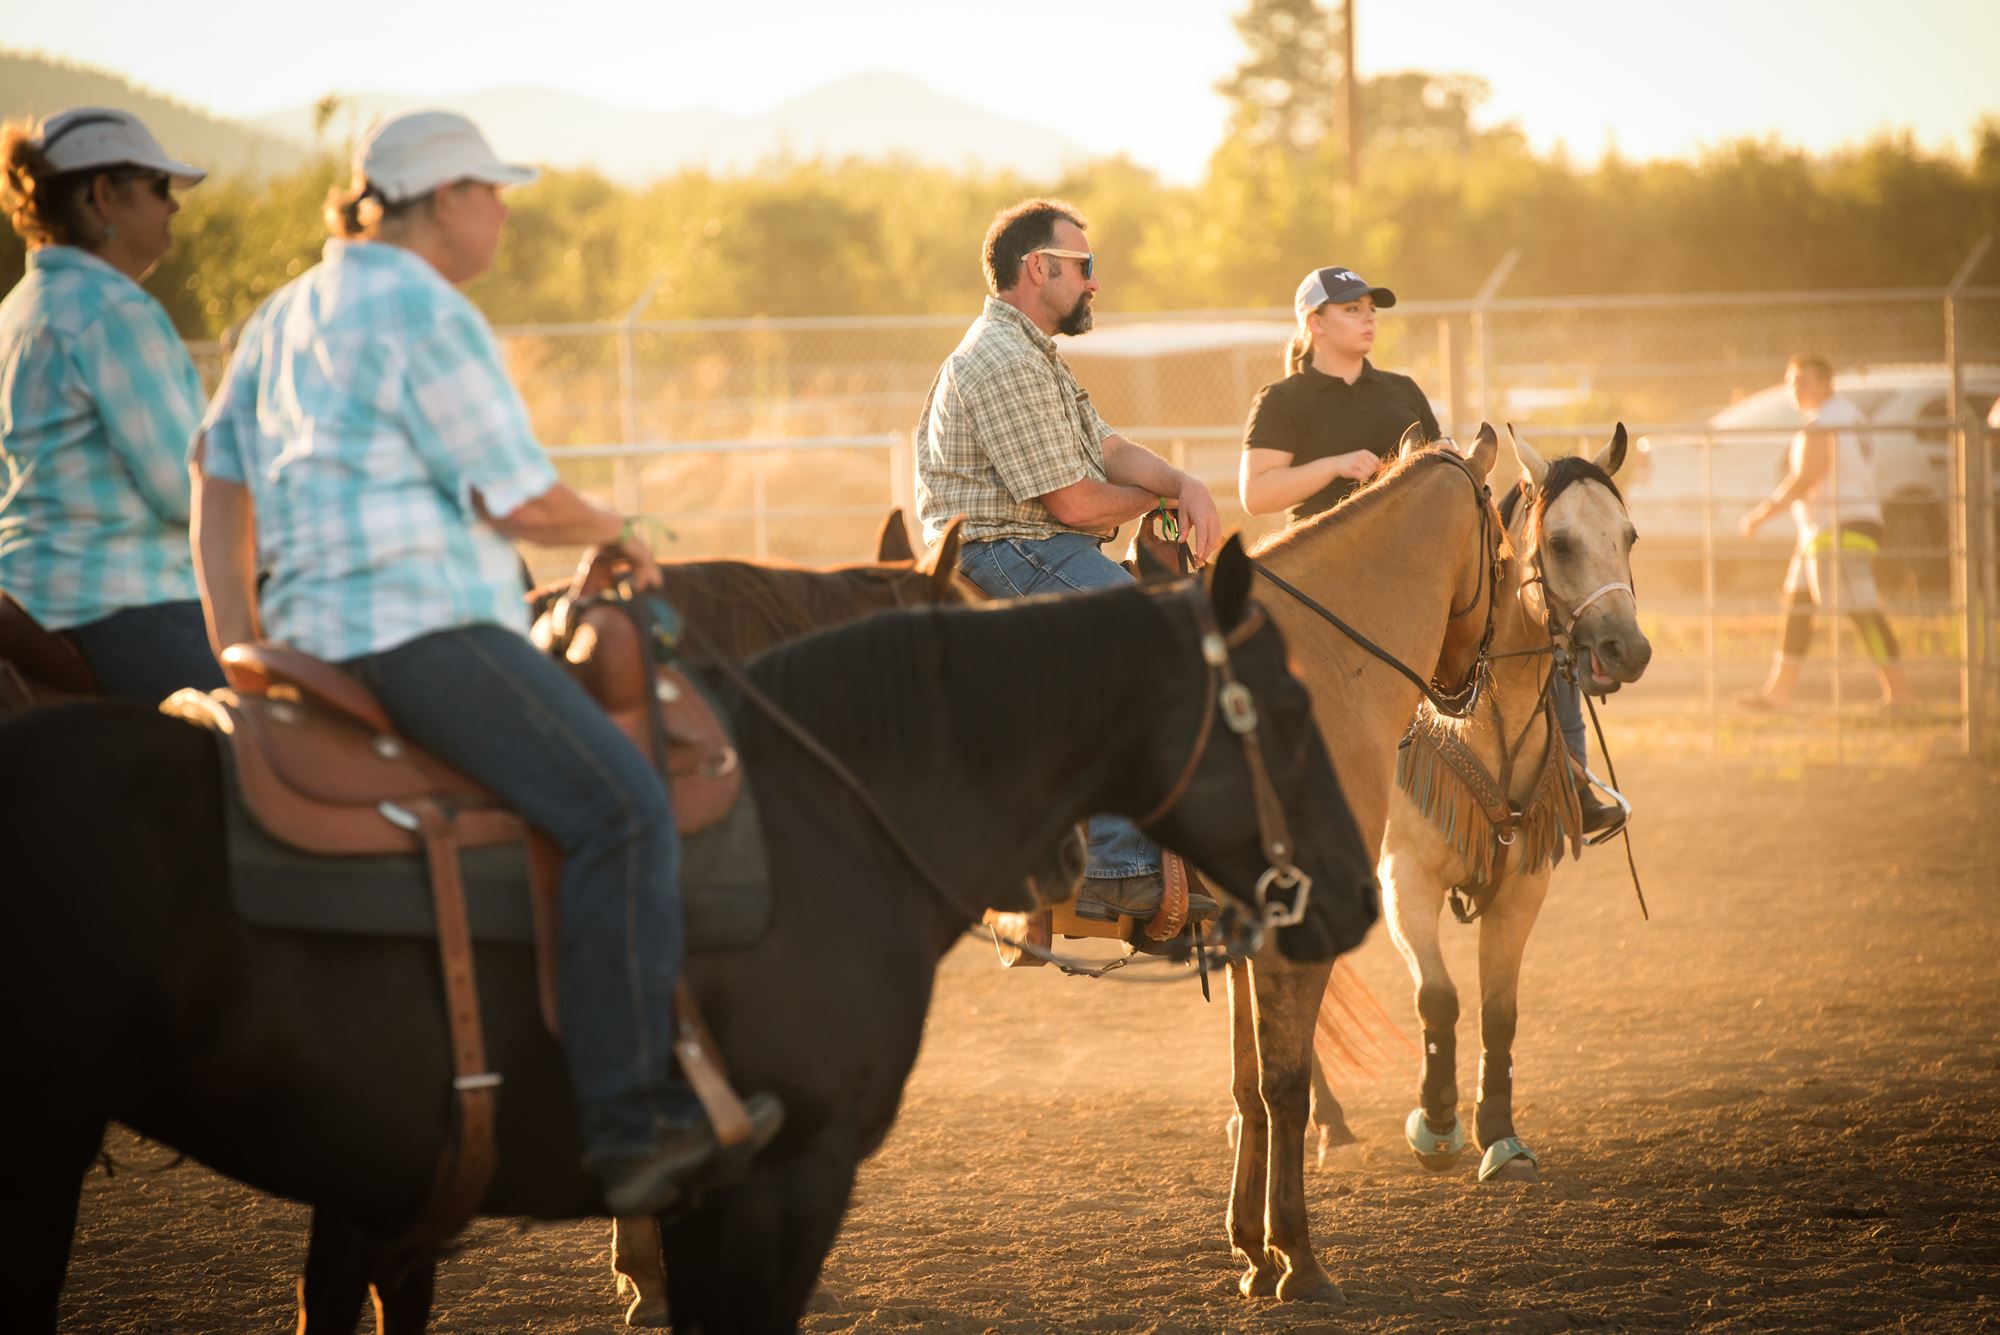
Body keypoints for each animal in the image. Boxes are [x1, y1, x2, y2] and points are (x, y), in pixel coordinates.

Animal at [0, 535, 1376, 1335]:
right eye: (1284, 704)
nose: (1356, 899)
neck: (818, 797)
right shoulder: (786, 1175)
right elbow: (1275, 1085)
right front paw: (1290, 1263)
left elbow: (1255, 1086)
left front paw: (1262, 1251)